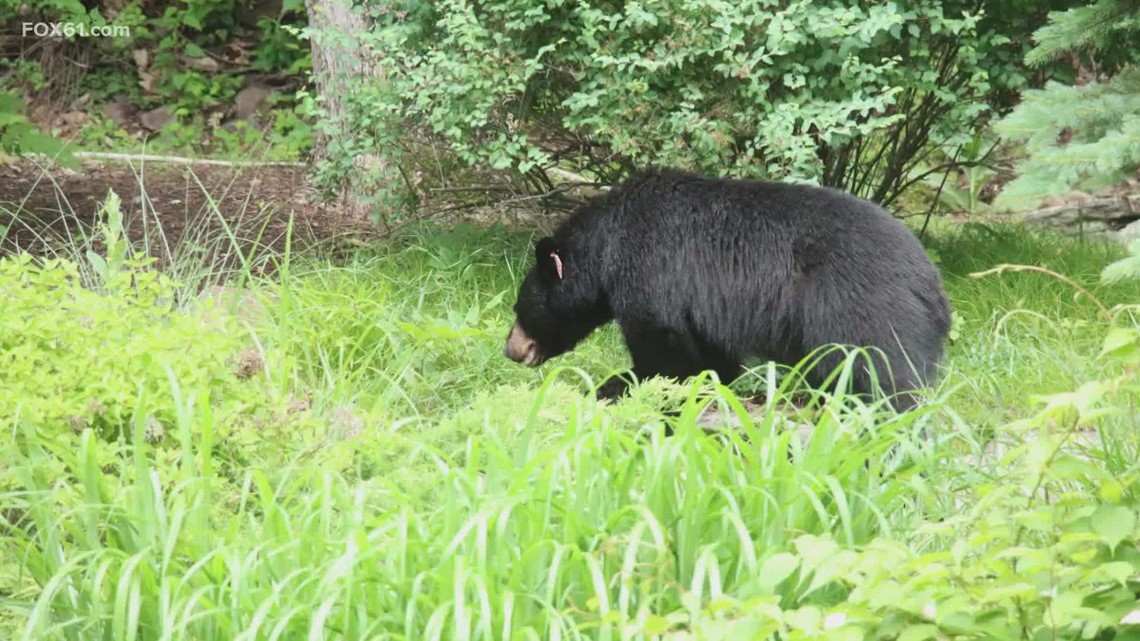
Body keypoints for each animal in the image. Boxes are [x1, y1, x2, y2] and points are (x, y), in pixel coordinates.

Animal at [503, 168, 948, 408]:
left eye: (519, 309)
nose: (511, 349)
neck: (609, 243)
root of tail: (932, 286)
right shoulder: (704, 309)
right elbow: (714, 358)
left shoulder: (651, 268)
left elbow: (664, 345)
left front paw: (623, 384)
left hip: (861, 309)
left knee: (884, 379)